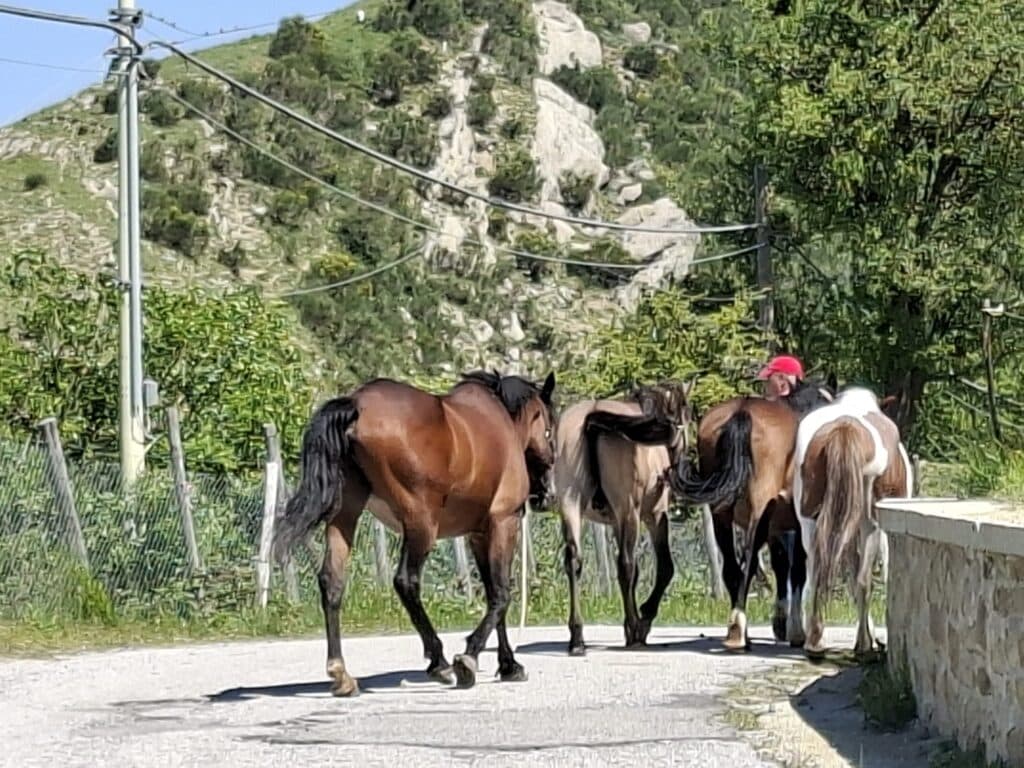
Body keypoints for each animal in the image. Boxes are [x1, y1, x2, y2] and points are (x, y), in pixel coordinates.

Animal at [273, 369, 557, 696]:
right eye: (550, 428)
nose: (546, 495)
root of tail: (357, 404)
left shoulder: (478, 534)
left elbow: (492, 592)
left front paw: (508, 664)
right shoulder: (503, 523)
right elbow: (501, 593)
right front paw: (474, 658)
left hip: (345, 515)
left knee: (332, 580)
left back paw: (341, 673)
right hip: (422, 525)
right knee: (406, 582)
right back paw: (439, 662)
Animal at [552, 379, 695, 655]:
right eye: (686, 416)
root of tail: (591, 416)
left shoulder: (617, 521)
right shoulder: (653, 515)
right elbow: (663, 568)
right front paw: (643, 618)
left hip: (571, 504)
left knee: (574, 560)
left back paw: (577, 638)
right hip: (629, 511)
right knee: (625, 565)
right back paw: (635, 629)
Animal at [665, 377, 836, 651]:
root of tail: (742, 411)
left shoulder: (777, 527)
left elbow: (777, 565)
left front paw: (781, 623)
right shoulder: (796, 524)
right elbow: (796, 569)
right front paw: (795, 629)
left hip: (721, 514)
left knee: (733, 568)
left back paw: (738, 627)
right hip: (759, 508)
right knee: (747, 563)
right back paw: (738, 630)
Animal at [792, 386, 913, 659]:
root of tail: (844, 429)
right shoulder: (883, 530)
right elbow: (880, 574)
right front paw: (874, 638)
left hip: (811, 520)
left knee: (816, 571)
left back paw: (814, 639)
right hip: (869, 523)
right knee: (863, 579)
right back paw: (863, 645)